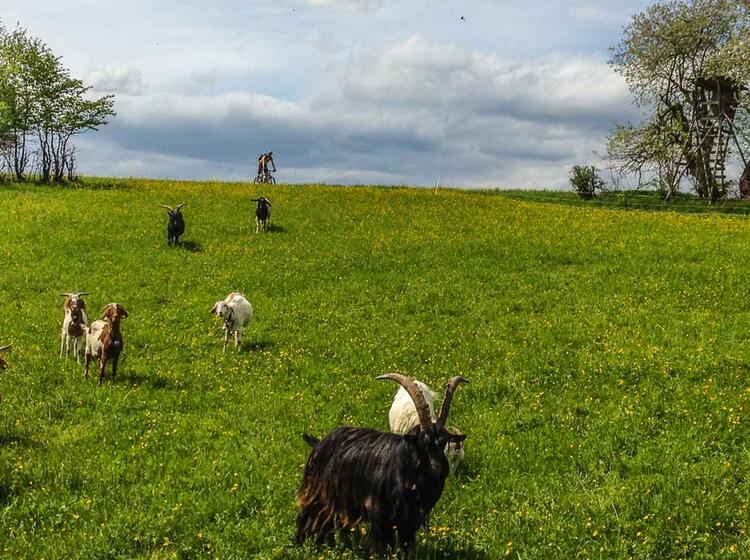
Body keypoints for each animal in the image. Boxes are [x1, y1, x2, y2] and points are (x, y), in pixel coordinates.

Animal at [296, 374, 468, 552]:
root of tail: (319, 443)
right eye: (421, 443)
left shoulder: (410, 518)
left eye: (443, 442)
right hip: (316, 492)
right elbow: (380, 542)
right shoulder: (380, 513)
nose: (439, 469)